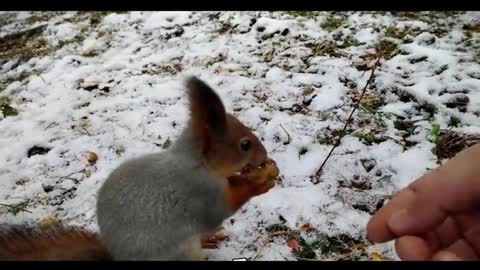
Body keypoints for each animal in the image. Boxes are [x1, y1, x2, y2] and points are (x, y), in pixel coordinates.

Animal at [0, 75, 280, 260]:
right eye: (245, 145)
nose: (265, 155)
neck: (198, 162)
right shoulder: (199, 191)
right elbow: (220, 209)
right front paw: (259, 182)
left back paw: (207, 240)